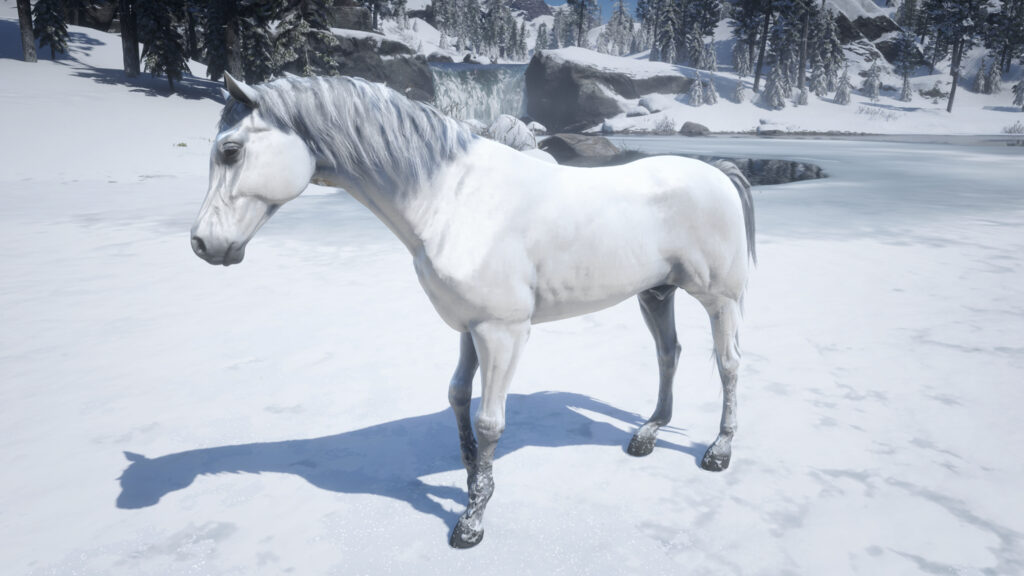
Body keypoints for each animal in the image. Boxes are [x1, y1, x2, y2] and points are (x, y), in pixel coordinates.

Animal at [190, 72, 756, 549]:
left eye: (231, 150)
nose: (202, 244)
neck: (455, 199)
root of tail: (718, 172)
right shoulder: (468, 327)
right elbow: (458, 396)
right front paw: (468, 481)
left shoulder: (502, 332)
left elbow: (488, 422)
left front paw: (471, 520)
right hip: (656, 294)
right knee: (669, 354)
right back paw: (648, 433)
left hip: (719, 299)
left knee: (729, 365)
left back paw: (719, 451)